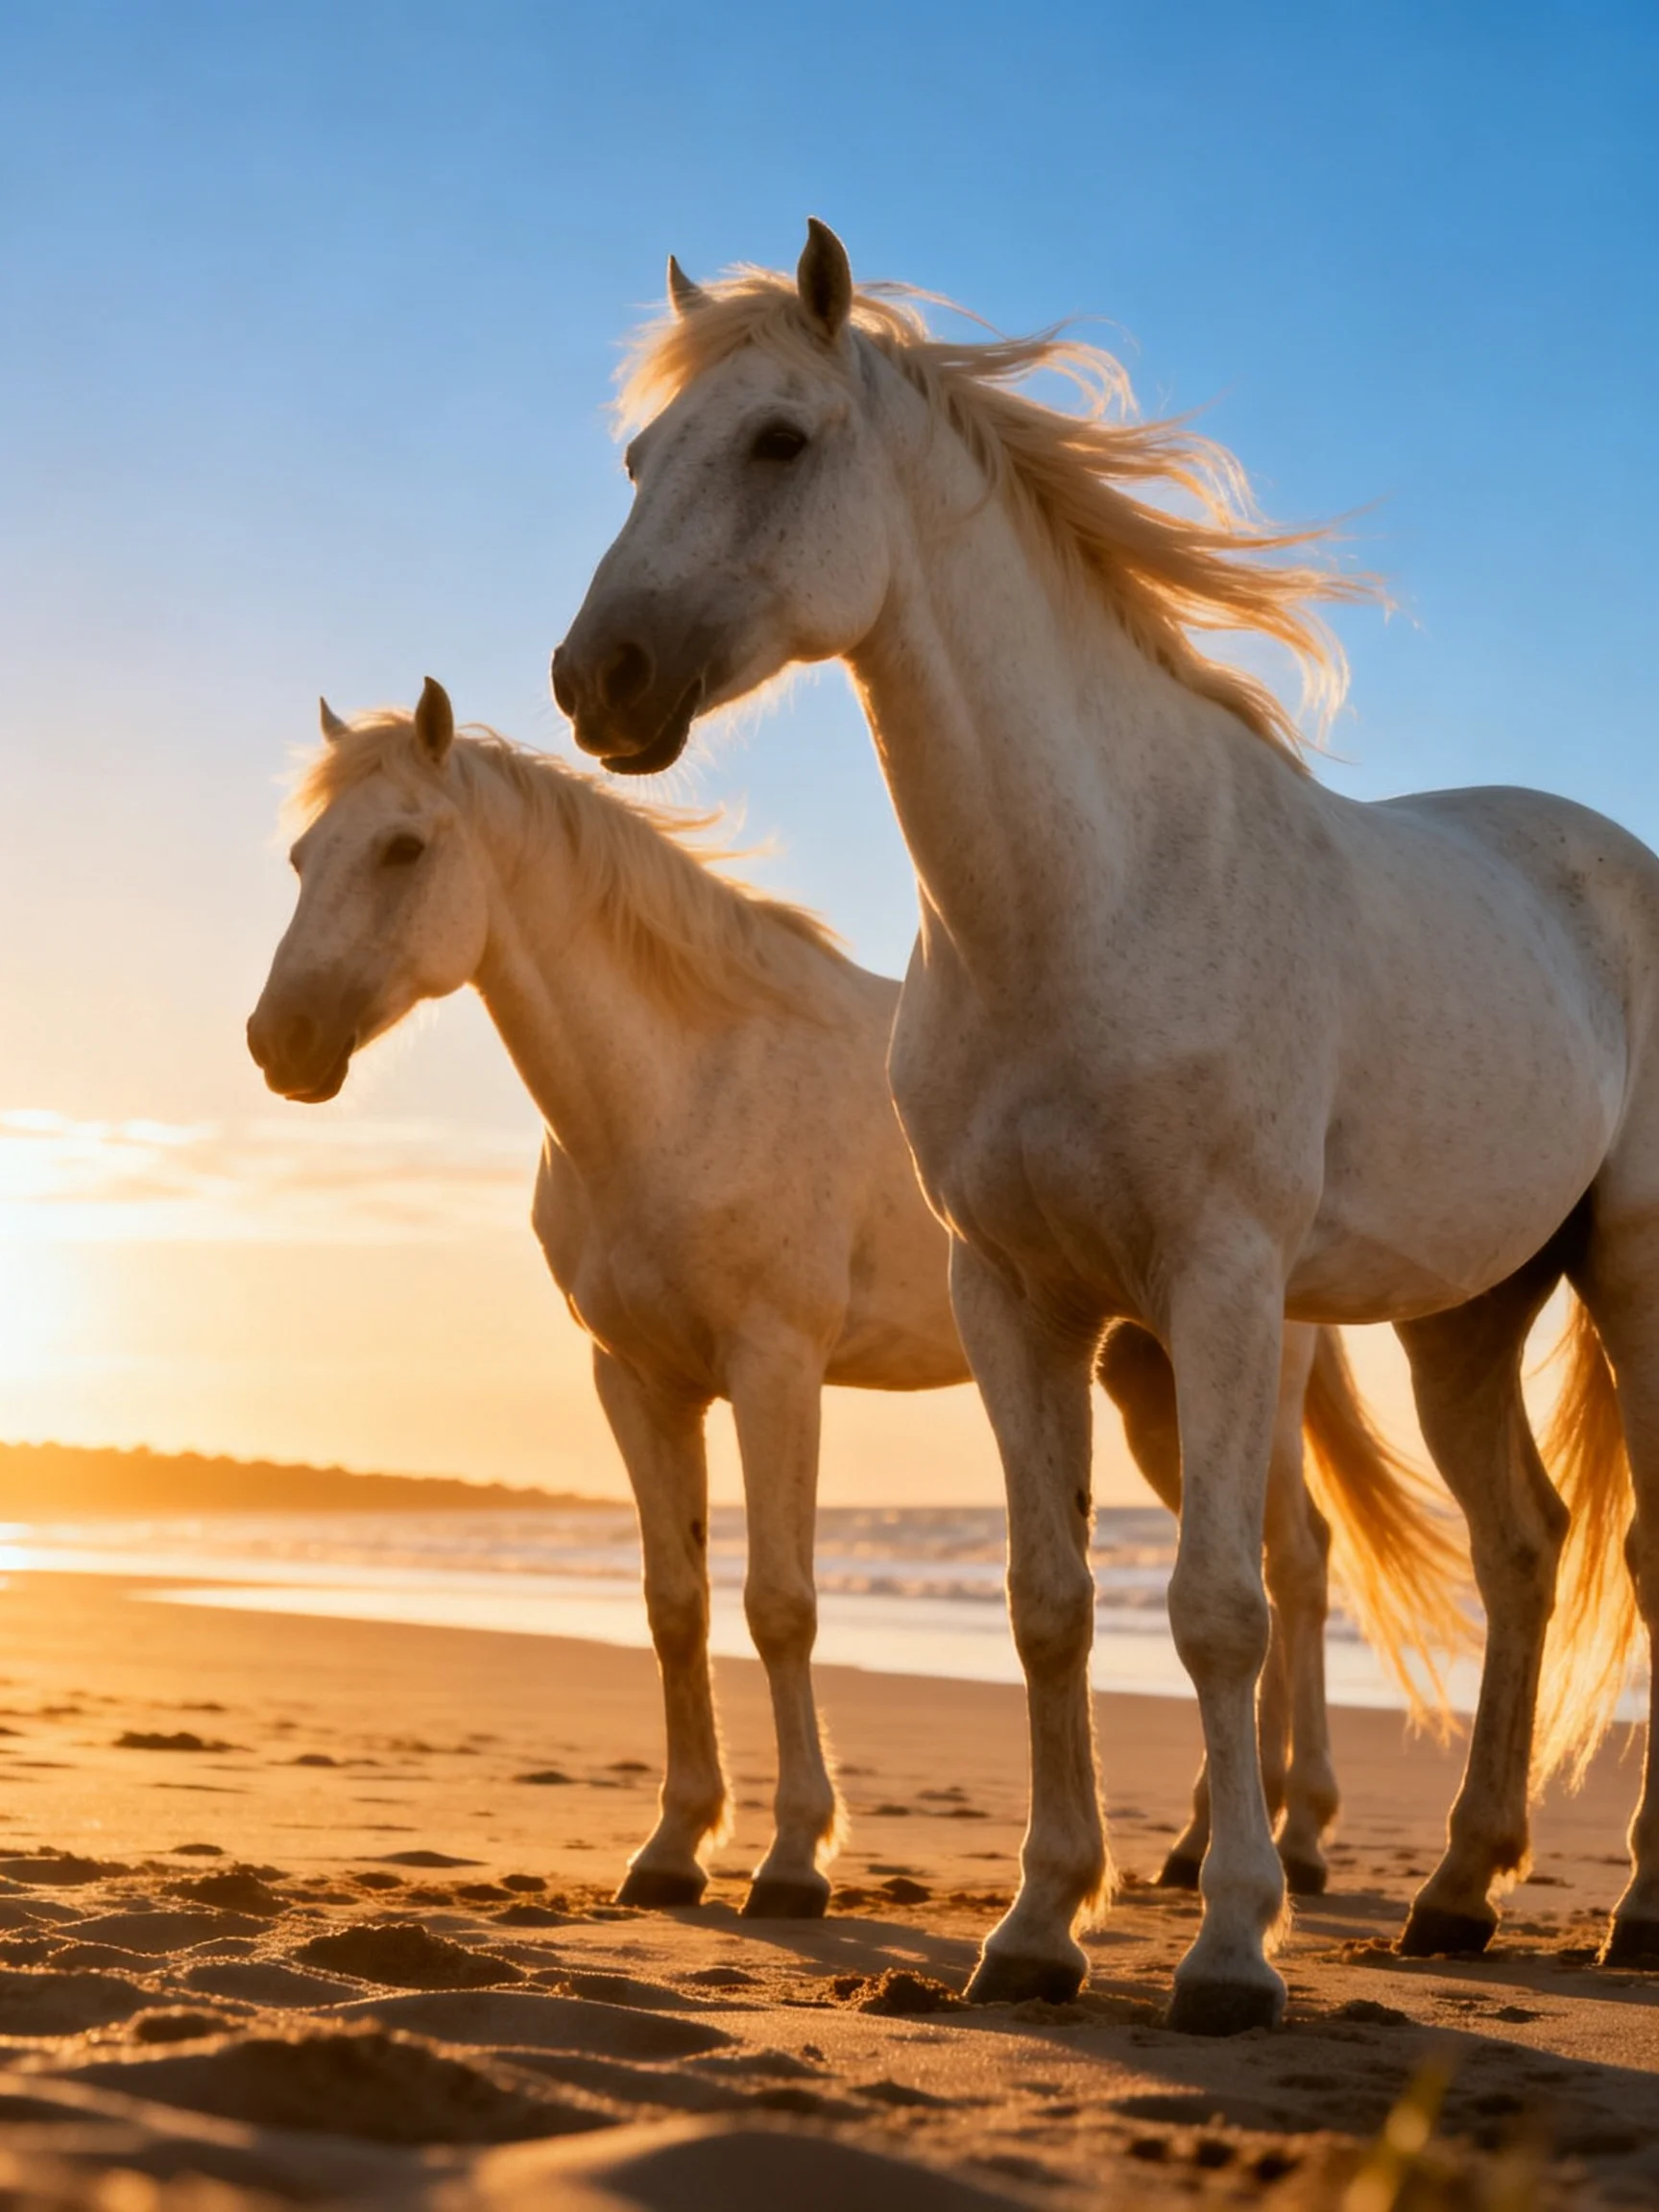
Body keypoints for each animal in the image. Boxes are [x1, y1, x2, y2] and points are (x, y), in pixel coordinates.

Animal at [246, 681, 1463, 1920]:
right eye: (299, 856)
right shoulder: (636, 1380)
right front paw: (673, 1847)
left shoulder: (775, 1367)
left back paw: (1300, 1838)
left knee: (1296, 1567)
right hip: (1144, 1381)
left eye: (403, 847)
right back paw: (1195, 1841)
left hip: (1245, 1360)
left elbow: (780, 1603)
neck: (686, 1086)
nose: (280, 1043)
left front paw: (792, 1858)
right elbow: (674, 1603)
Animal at [550, 221, 1649, 2034]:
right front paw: (1038, 1928)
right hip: (1465, 1313)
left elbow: (1214, 1606)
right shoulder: (1019, 1296)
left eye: (778, 439)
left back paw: (1630, 1907)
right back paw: (1455, 1892)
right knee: (1521, 1551)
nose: (597, 680)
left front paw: (1229, 1947)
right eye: (638, 457)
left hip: (1623, 1274)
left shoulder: (1216, 1280)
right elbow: (1048, 1603)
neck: (1091, 893)